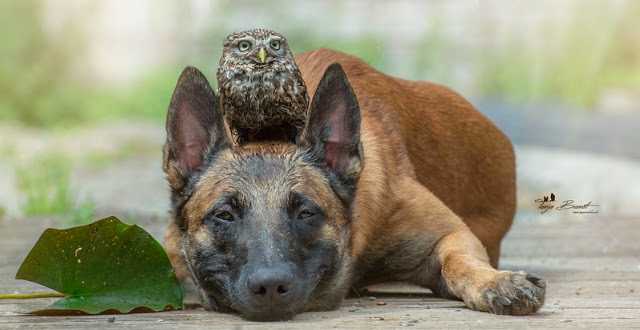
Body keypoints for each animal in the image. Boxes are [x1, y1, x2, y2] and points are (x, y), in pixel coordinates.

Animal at [162, 49, 544, 320]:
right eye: (224, 215)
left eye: (306, 213)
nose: (270, 287)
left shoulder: (450, 234)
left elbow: (459, 261)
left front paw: (496, 281)